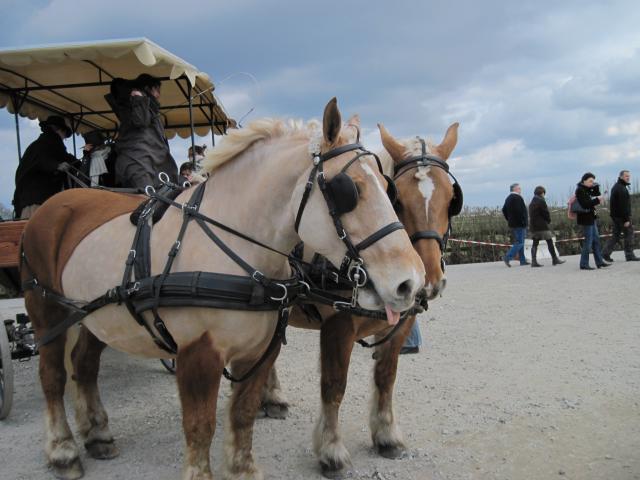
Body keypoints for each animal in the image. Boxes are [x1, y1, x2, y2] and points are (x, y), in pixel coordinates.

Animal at [23, 98, 424, 480]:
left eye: (388, 187)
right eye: (350, 190)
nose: (412, 282)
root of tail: (53, 205)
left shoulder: (259, 350)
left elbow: (242, 414)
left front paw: (242, 469)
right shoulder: (197, 353)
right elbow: (200, 425)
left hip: (97, 316)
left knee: (84, 365)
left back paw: (97, 434)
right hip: (47, 313)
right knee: (53, 377)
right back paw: (63, 451)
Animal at [260, 121, 460, 476]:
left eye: (451, 199)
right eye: (399, 198)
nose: (426, 282)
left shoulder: (401, 327)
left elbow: (386, 377)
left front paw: (386, 435)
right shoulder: (338, 326)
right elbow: (334, 386)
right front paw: (331, 451)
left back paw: (270, 397)